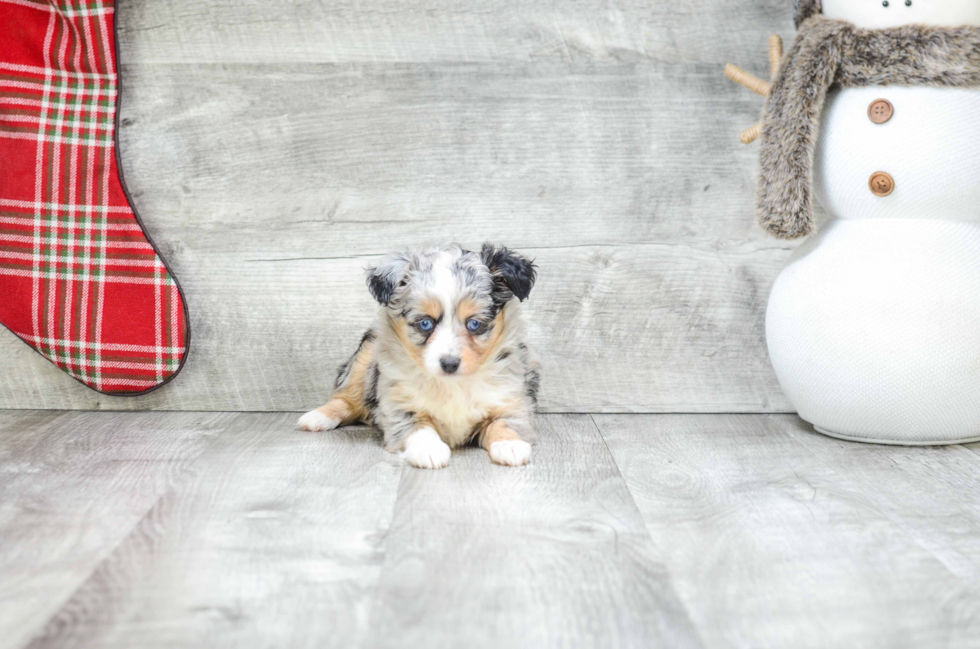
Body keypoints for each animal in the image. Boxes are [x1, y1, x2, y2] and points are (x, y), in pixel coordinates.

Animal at [298, 242, 544, 466]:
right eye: (425, 323)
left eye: (474, 323)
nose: (449, 364)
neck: (452, 384)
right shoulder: (399, 403)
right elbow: (419, 427)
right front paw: (429, 450)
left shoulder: (511, 398)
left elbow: (506, 422)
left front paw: (510, 445)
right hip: (365, 358)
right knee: (346, 397)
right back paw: (316, 417)